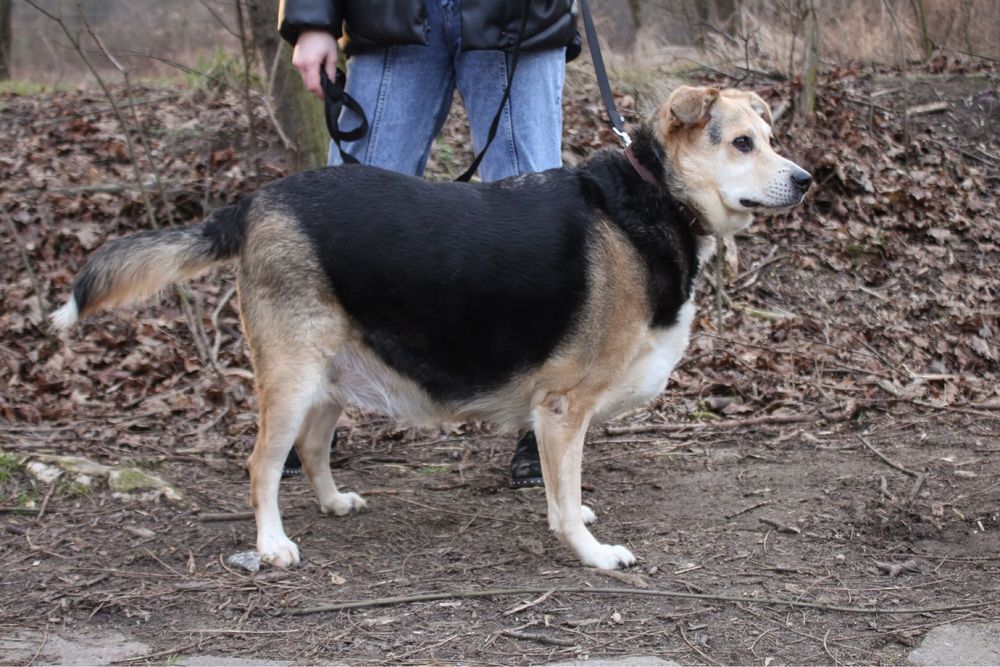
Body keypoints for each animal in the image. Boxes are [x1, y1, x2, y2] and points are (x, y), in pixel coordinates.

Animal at [50, 86, 812, 572]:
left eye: (773, 141)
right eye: (743, 143)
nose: (806, 179)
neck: (653, 195)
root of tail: (254, 200)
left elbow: (568, 487)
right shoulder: (561, 409)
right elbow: (563, 503)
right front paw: (594, 556)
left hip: (331, 378)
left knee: (315, 448)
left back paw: (333, 502)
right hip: (293, 379)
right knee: (263, 463)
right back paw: (272, 544)